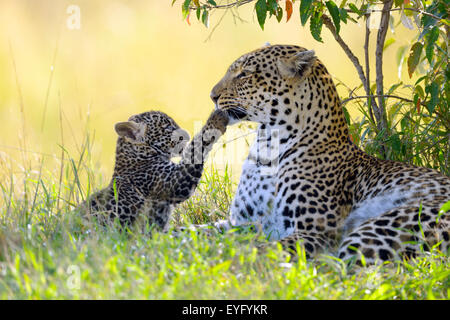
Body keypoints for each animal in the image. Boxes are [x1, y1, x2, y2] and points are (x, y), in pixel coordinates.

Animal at [210, 43, 450, 264]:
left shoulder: (315, 232)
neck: (266, 148)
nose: (212, 96)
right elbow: (205, 230)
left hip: (383, 226)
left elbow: (261, 250)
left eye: (244, 74)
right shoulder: (240, 222)